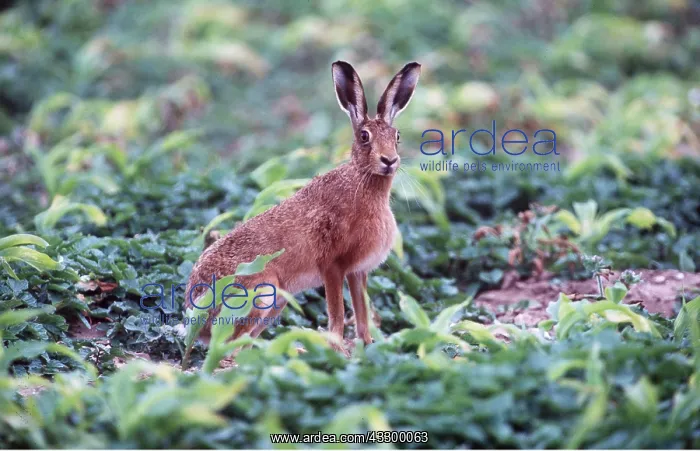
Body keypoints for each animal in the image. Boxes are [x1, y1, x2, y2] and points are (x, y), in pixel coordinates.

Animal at [184, 60, 421, 353]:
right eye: (364, 136)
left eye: (397, 136)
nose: (389, 160)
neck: (363, 181)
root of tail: (195, 319)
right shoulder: (333, 266)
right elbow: (338, 313)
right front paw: (339, 351)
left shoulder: (358, 272)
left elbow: (362, 312)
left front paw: (368, 346)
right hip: (261, 294)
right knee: (231, 348)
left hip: (278, 302)